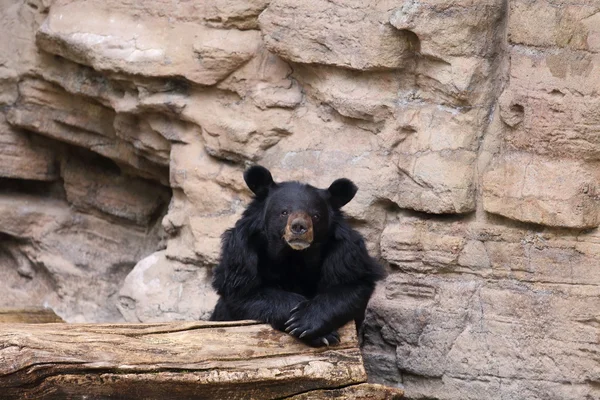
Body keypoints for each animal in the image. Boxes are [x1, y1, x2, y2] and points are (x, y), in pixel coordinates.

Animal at [211, 166, 384, 346]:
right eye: (284, 212)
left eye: (315, 215)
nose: (299, 227)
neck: (294, 254)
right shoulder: (242, 251)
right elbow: (243, 289)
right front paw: (318, 332)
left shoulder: (345, 251)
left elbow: (352, 284)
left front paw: (306, 323)